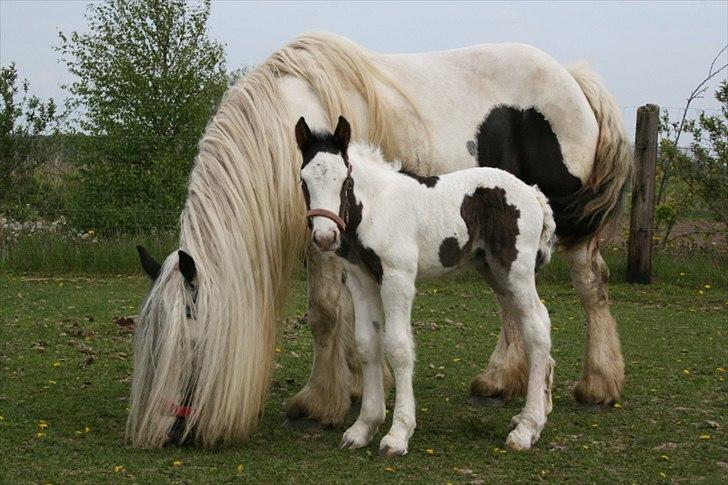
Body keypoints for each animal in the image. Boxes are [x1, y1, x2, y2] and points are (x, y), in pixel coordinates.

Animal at [296, 115, 556, 456]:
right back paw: (535, 417)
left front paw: (398, 434)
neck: (376, 207)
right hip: (496, 273)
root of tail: (533, 193)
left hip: (517, 271)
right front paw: (363, 427)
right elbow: (367, 344)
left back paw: (526, 429)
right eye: (304, 181)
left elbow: (398, 347)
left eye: (345, 180)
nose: (325, 238)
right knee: (533, 326)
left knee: (537, 329)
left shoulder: (398, 278)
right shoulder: (361, 280)